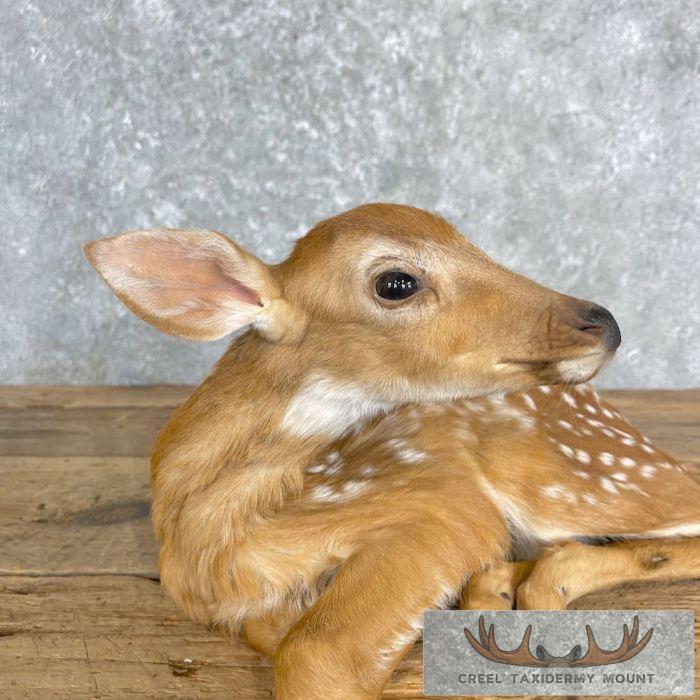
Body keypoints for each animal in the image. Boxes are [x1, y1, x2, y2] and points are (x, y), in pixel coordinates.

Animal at [84, 203, 700, 699]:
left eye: (473, 243)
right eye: (397, 284)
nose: (602, 321)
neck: (215, 532)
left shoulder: (437, 505)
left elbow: (312, 653)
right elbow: (282, 635)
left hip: (580, 478)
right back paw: (497, 590)